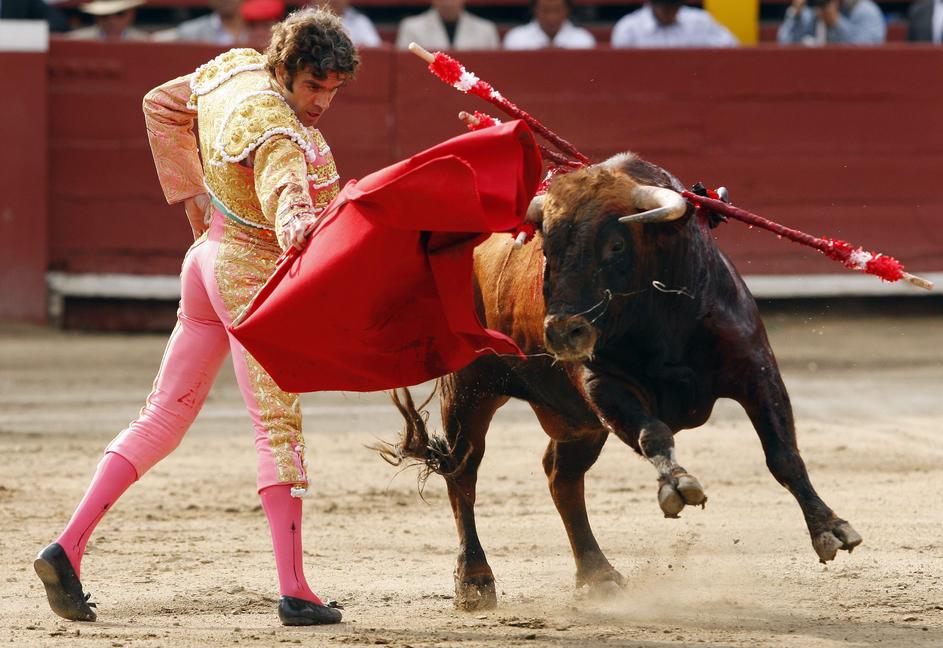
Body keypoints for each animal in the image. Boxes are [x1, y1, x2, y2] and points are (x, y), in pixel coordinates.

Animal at [382, 151, 864, 608]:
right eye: (546, 247)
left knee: (560, 476)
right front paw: (677, 485)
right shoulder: (602, 385)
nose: (562, 331)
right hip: (469, 388)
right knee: (463, 472)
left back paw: (597, 573)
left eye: (615, 246)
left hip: (576, 421)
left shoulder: (756, 369)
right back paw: (475, 580)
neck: (661, 313)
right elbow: (654, 433)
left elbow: (783, 454)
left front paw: (831, 529)